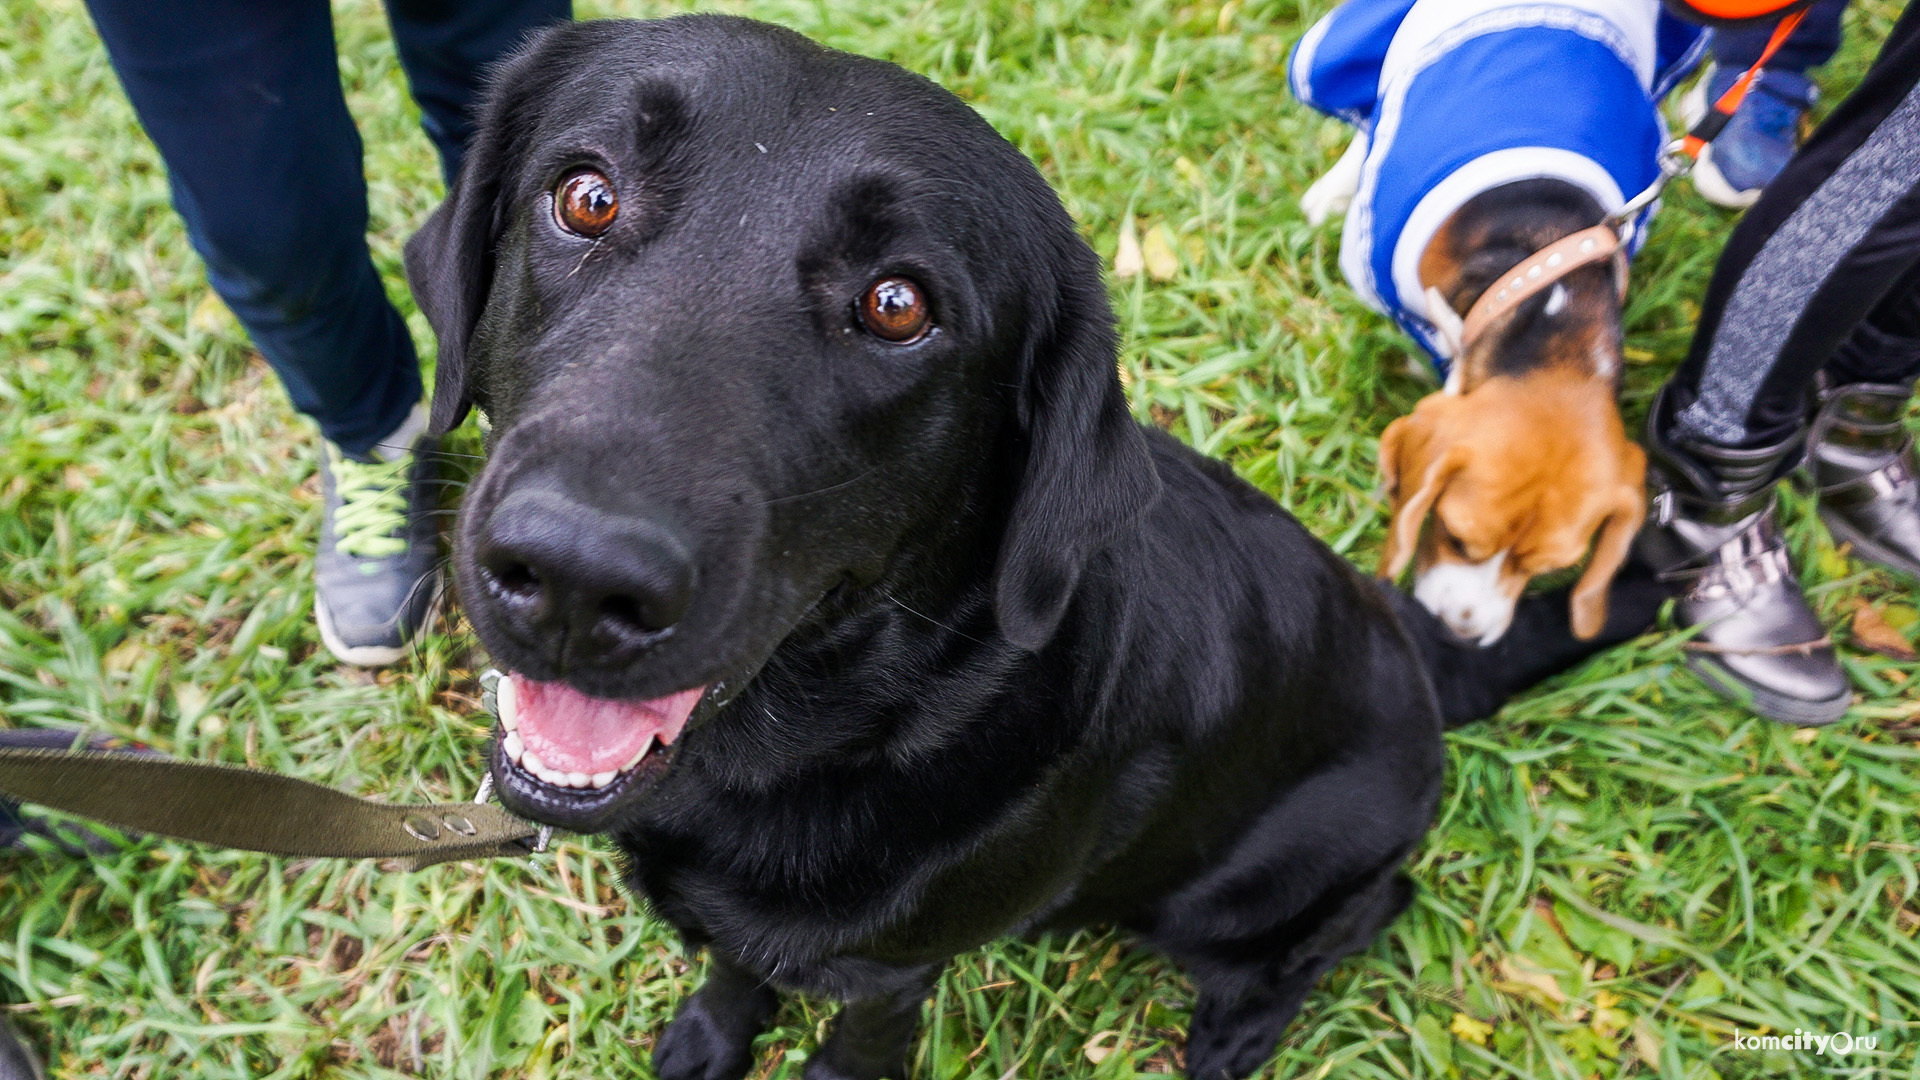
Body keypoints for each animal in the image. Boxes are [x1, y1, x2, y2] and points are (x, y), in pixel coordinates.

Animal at [408, 16, 1666, 1076]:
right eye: (585, 197)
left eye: (899, 305)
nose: (574, 579)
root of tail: (1415, 643)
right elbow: (732, 969)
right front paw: (712, 1040)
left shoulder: (888, 975)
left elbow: (848, 1044)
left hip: (1234, 896)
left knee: (1351, 923)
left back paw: (1236, 1035)